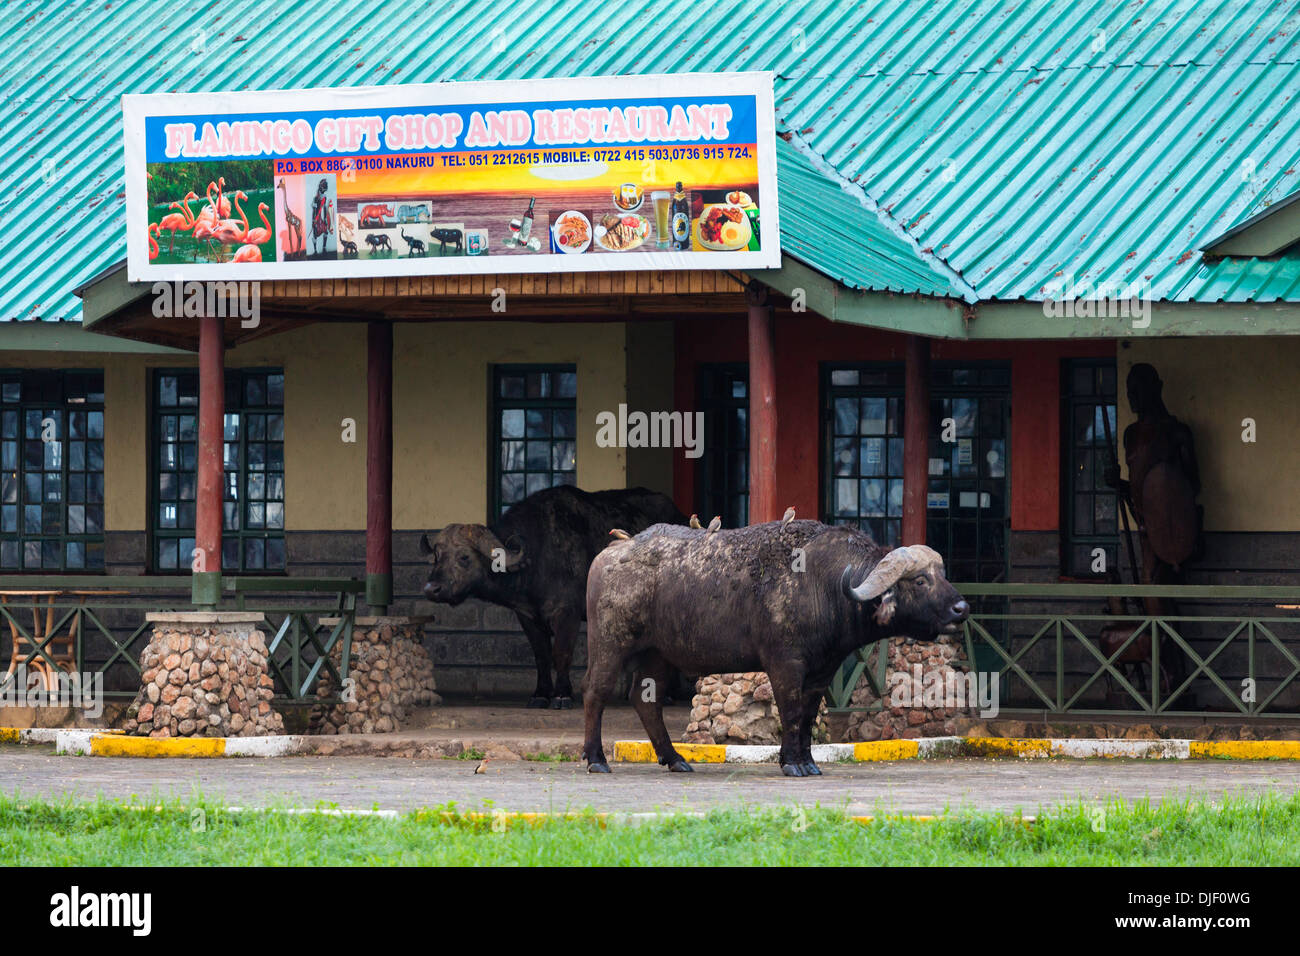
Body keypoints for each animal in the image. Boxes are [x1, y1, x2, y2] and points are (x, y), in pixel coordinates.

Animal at [418, 486, 686, 712]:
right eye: (437, 555)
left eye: (464, 557)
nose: (432, 588)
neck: (538, 557)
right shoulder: (527, 617)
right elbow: (541, 655)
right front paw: (540, 694)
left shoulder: (566, 616)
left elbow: (561, 653)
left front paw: (561, 695)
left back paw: (668, 694)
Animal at [585, 522, 972, 780]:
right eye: (920, 581)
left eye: (942, 574)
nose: (961, 608)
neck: (825, 584)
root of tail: (609, 555)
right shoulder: (785, 664)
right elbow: (789, 711)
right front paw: (792, 763)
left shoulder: (822, 671)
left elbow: (806, 715)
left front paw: (807, 762)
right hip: (610, 644)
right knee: (595, 693)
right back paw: (596, 759)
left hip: (659, 654)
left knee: (645, 701)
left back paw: (676, 758)